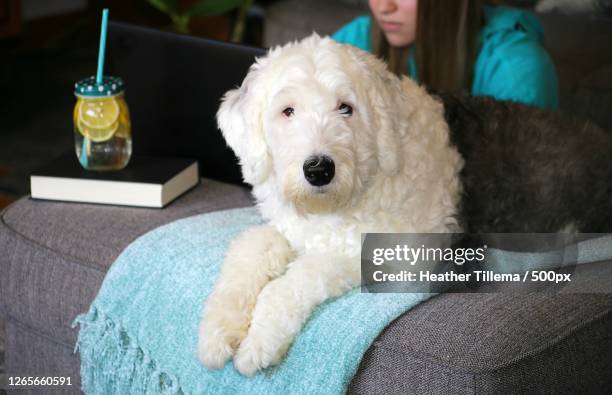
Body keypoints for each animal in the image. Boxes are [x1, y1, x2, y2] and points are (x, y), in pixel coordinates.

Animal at [198, 34, 462, 378]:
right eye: (288, 111)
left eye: (345, 108)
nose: (319, 170)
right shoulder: (290, 229)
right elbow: (252, 247)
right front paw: (218, 329)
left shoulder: (394, 259)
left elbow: (294, 280)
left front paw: (258, 344)